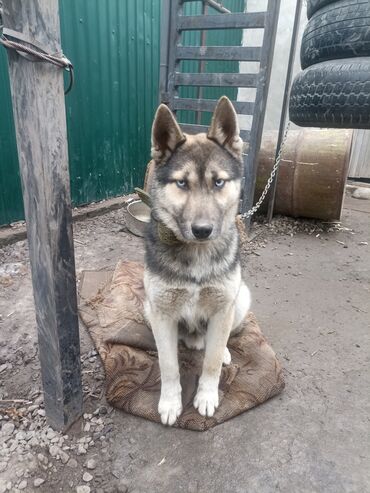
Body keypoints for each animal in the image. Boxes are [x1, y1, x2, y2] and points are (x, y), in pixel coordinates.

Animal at [143, 95, 250, 422]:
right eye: (181, 183)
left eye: (218, 182)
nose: (202, 230)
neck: (197, 254)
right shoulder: (162, 313)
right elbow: (168, 365)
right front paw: (169, 402)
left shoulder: (222, 308)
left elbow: (211, 362)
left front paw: (206, 396)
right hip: (147, 306)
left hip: (240, 298)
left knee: (221, 340)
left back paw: (225, 350)